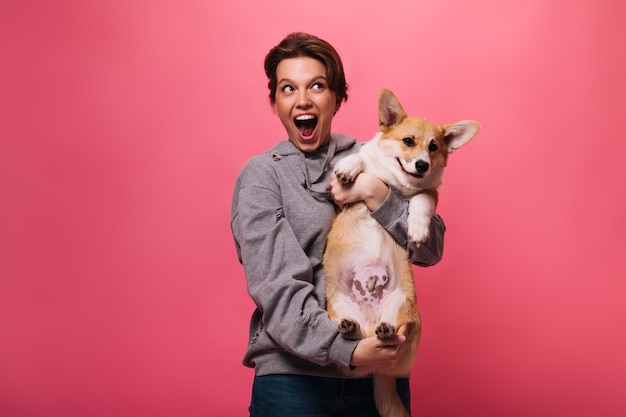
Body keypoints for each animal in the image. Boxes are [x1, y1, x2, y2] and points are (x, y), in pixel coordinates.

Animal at [322, 88, 478, 416]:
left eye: (433, 147)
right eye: (408, 141)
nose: (422, 165)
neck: (394, 183)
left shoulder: (430, 194)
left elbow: (421, 201)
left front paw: (417, 230)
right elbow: (360, 158)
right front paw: (348, 167)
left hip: (401, 307)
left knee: (384, 334)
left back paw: (384, 331)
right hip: (340, 308)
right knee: (352, 348)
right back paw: (351, 328)